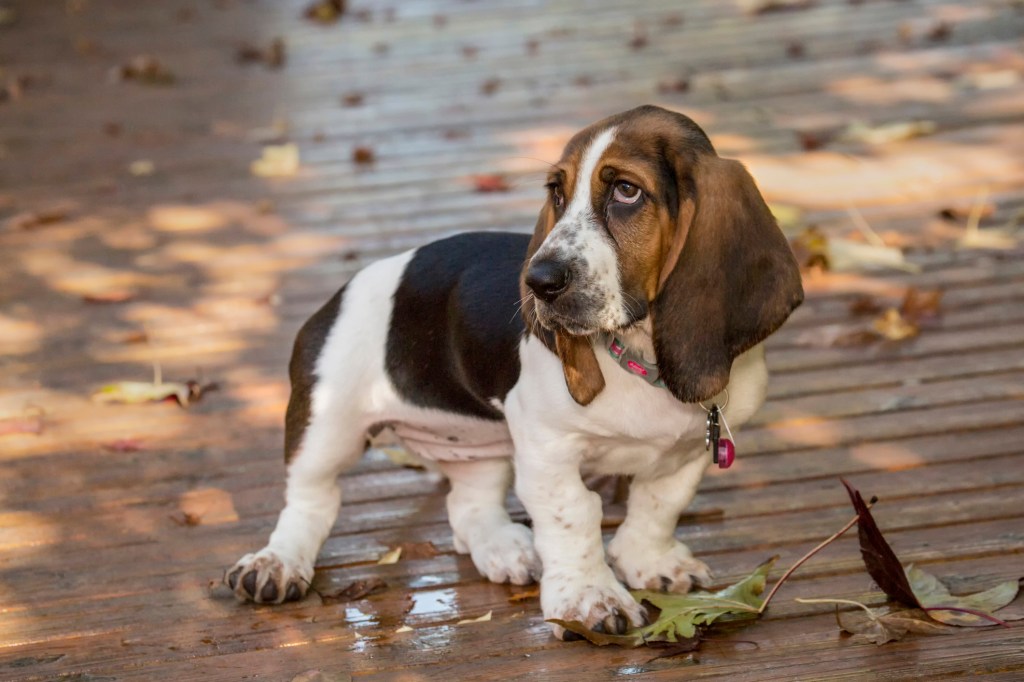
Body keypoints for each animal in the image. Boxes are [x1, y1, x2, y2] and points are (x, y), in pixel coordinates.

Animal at [226, 103, 806, 634]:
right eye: (556, 194)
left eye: (626, 191)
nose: (538, 282)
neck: (638, 358)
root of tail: (339, 294)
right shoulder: (548, 449)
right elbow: (576, 514)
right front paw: (592, 599)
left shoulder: (686, 452)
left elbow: (659, 504)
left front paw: (651, 562)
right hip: (329, 427)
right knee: (311, 500)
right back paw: (275, 564)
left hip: (481, 444)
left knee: (468, 504)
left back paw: (508, 549)